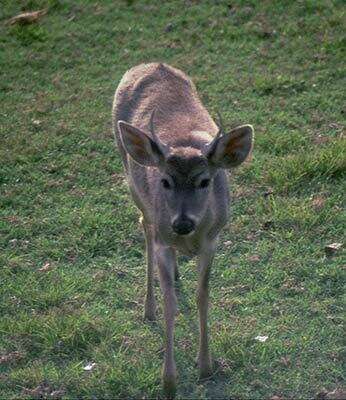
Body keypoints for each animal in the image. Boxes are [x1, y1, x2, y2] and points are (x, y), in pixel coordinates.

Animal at [112, 63, 253, 396]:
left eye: (205, 181)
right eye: (165, 181)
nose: (182, 222)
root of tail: (150, 64)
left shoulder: (213, 239)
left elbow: (203, 295)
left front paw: (205, 366)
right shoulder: (163, 240)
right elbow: (170, 303)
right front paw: (169, 380)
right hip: (133, 184)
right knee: (144, 225)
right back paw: (148, 306)